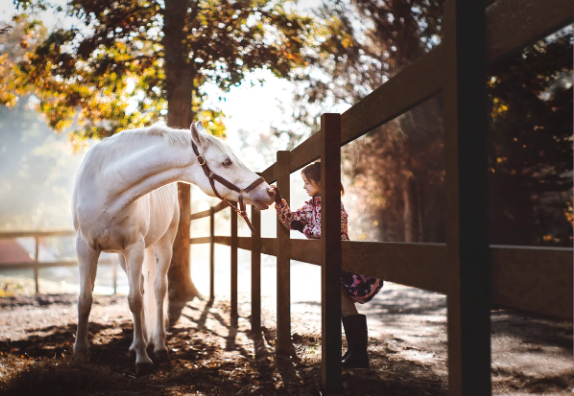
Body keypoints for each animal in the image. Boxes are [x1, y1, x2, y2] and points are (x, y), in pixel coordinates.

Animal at [71, 122, 274, 376]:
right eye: (226, 162)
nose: (269, 192)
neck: (107, 185)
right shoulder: (85, 247)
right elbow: (85, 299)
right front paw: (80, 351)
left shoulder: (135, 247)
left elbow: (136, 300)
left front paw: (142, 358)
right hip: (121, 257)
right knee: (142, 288)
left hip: (162, 245)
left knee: (158, 290)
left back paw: (158, 346)